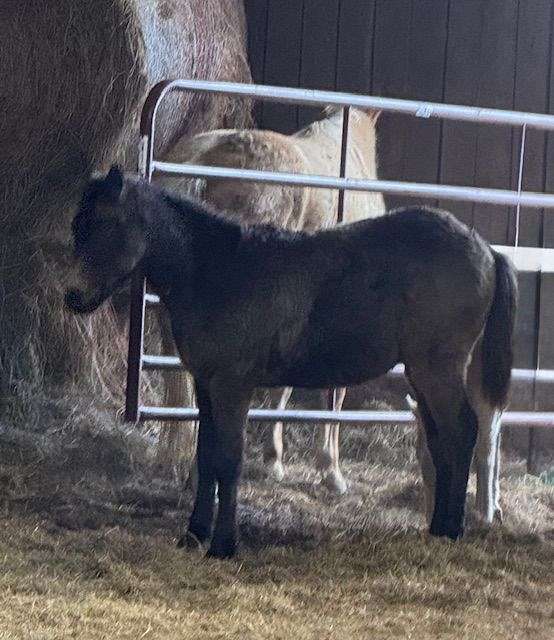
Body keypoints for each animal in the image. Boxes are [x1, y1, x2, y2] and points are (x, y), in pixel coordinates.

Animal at [65, 167, 517, 558]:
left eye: (106, 225)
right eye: (77, 226)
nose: (73, 296)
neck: (218, 272)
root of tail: (487, 251)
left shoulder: (233, 384)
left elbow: (228, 459)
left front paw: (223, 545)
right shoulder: (206, 384)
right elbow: (206, 457)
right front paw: (193, 535)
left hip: (438, 367)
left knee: (463, 430)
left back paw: (453, 529)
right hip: (422, 373)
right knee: (442, 439)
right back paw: (438, 528)